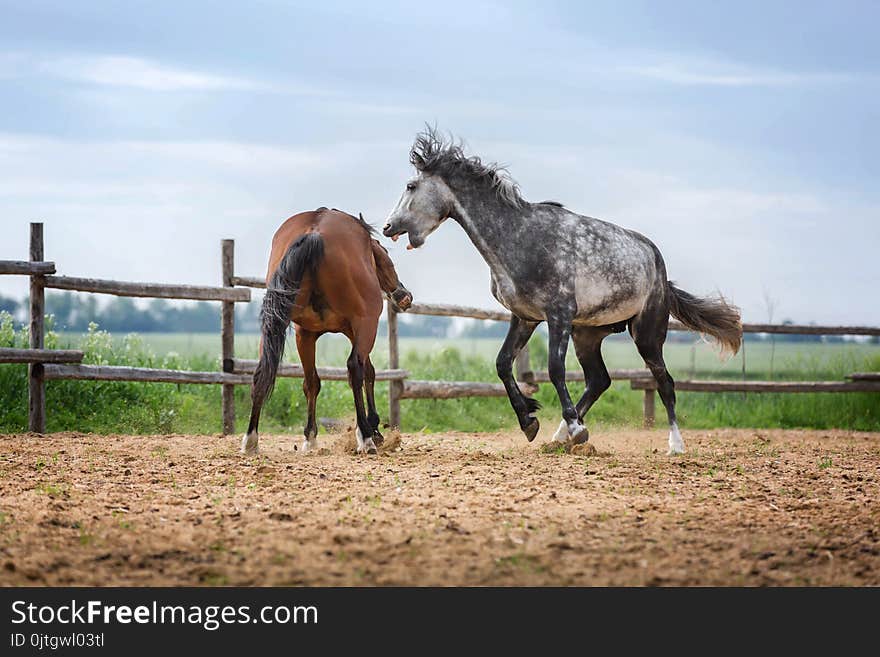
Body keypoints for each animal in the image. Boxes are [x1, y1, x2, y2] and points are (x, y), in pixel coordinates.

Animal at [241, 208, 412, 454]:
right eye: (385, 254)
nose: (405, 296)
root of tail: (315, 233)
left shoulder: (307, 333)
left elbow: (312, 382)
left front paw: (310, 437)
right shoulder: (360, 327)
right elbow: (367, 372)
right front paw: (373, 430)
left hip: (277, 326)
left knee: (265, 372)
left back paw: (250, 440)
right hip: (365, 324)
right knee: (354, 368)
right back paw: (366, 438)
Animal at [382, 129, 740, 456]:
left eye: (411, 186)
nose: (387, 227)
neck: (520, 237)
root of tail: (659, 267)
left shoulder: (559, 314)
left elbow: (554, 369)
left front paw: (569, 428)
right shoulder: (525, 317)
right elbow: (502, 363)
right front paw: (530, 422)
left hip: (647, 333)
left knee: (664, 382)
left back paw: (673, 445)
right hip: (588, 335)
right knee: (599, 380)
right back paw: (561, 436)